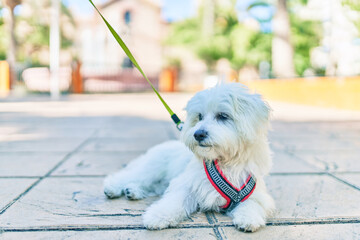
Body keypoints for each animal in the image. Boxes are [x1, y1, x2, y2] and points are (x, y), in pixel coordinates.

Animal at [104, 83, 276, 232]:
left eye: (222, 116)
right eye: (199, 116)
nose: (198, 134)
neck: (225, 161)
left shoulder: (256, 192)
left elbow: (253, 204)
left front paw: (249, 219)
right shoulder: (187, 185)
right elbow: (173, 202)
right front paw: (157, 216)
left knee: (152, 186)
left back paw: (132, 191)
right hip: (152, 169)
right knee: (131, 176)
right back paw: (113, 188)